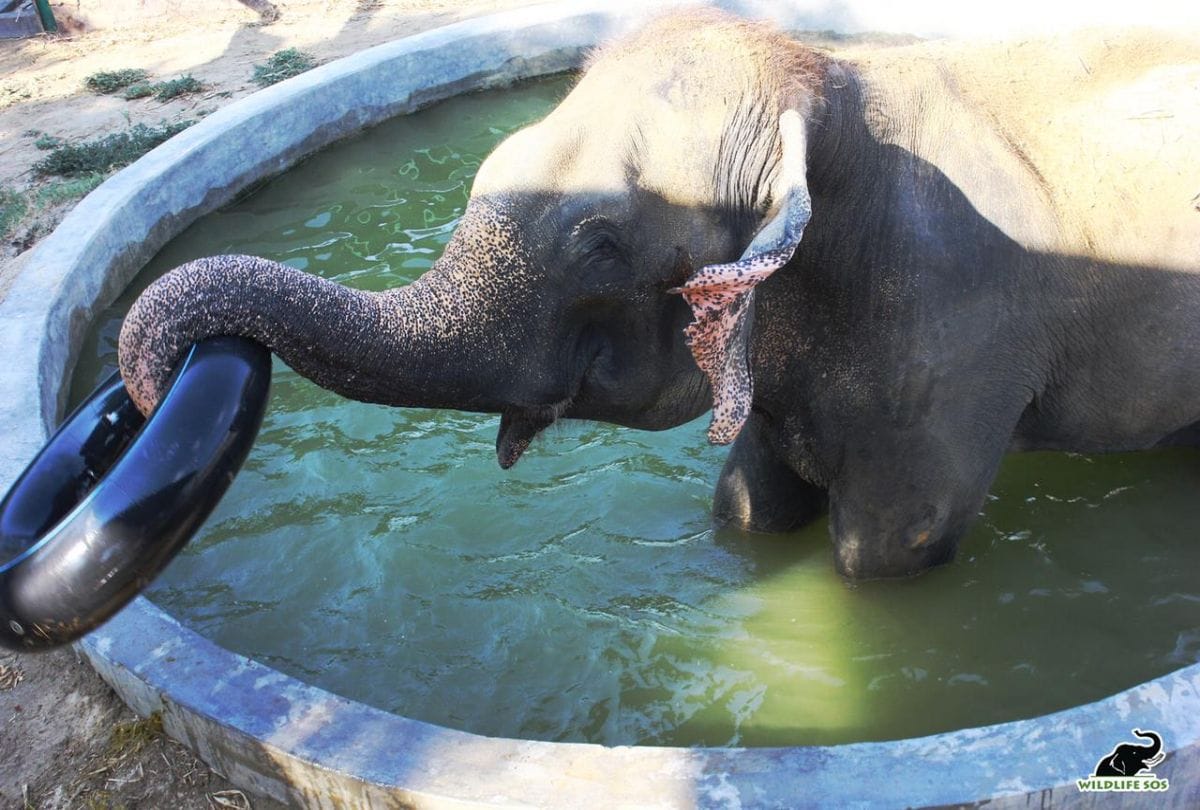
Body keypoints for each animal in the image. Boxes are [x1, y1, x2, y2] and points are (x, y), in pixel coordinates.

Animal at [117, 10, 1200, 579]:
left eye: (601, 245)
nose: (147, 390)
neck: (824, 87)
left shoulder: (951, 350)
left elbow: (884, 551)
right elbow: (748, 507)